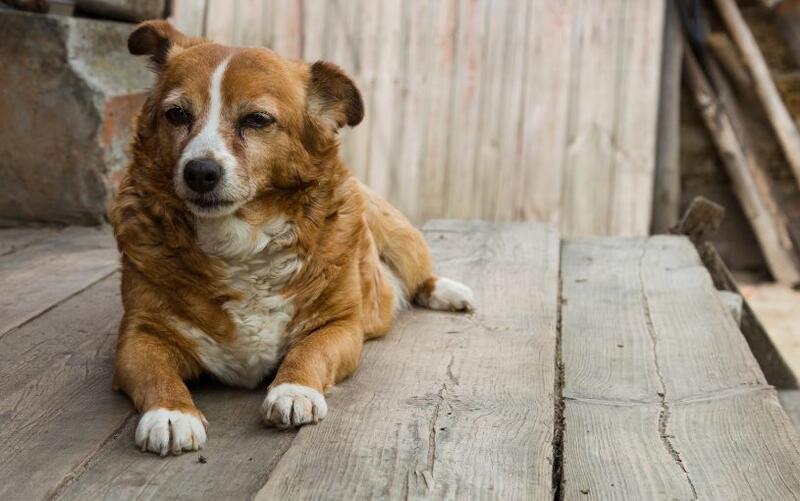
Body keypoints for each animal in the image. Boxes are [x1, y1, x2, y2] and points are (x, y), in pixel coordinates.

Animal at [112, 21, 476, 456]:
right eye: (176, 114)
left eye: (257, 119)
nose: (199, 172)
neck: (241, 239)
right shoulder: (138, 335)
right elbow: (156, 372)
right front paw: (170, 413)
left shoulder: (340, 327)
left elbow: (309, 352)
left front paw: (293, 390)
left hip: (401, 237)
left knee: (422, 275)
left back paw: (449, 293)